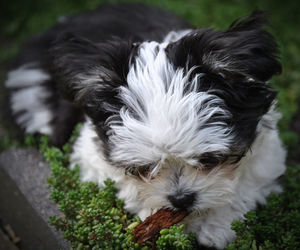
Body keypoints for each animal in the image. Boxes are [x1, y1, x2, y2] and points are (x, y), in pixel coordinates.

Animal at [4, 2, 286, 249]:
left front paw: (217, 224)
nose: (181, 199)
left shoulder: (267, 156)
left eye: (210, 160)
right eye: (144, 168)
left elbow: (247, 183)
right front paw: (153, 211)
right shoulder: (90, 151)